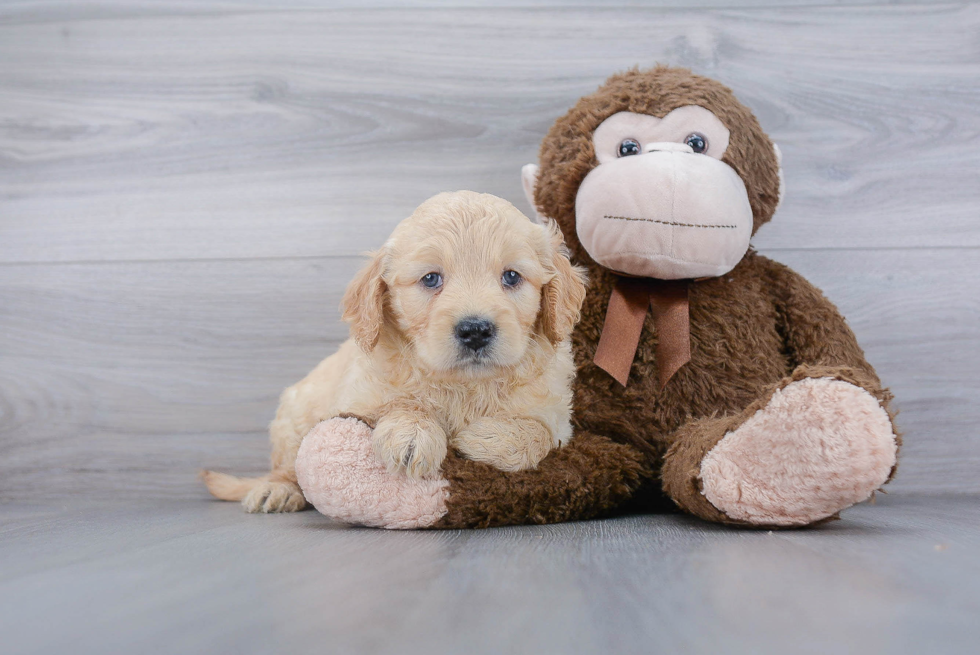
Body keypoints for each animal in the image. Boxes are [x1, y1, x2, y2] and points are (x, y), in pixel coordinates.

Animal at [204, 190, 584, 512]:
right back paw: (277, 489)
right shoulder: (358, 400)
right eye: (431, 279)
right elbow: (400, 402)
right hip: (294, 418)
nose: (475, 331)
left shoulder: (555, 414)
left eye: (511, 276)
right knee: (288, 467)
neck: (464, 385)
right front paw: (412, 432)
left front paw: (490, 438)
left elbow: (540, 431)